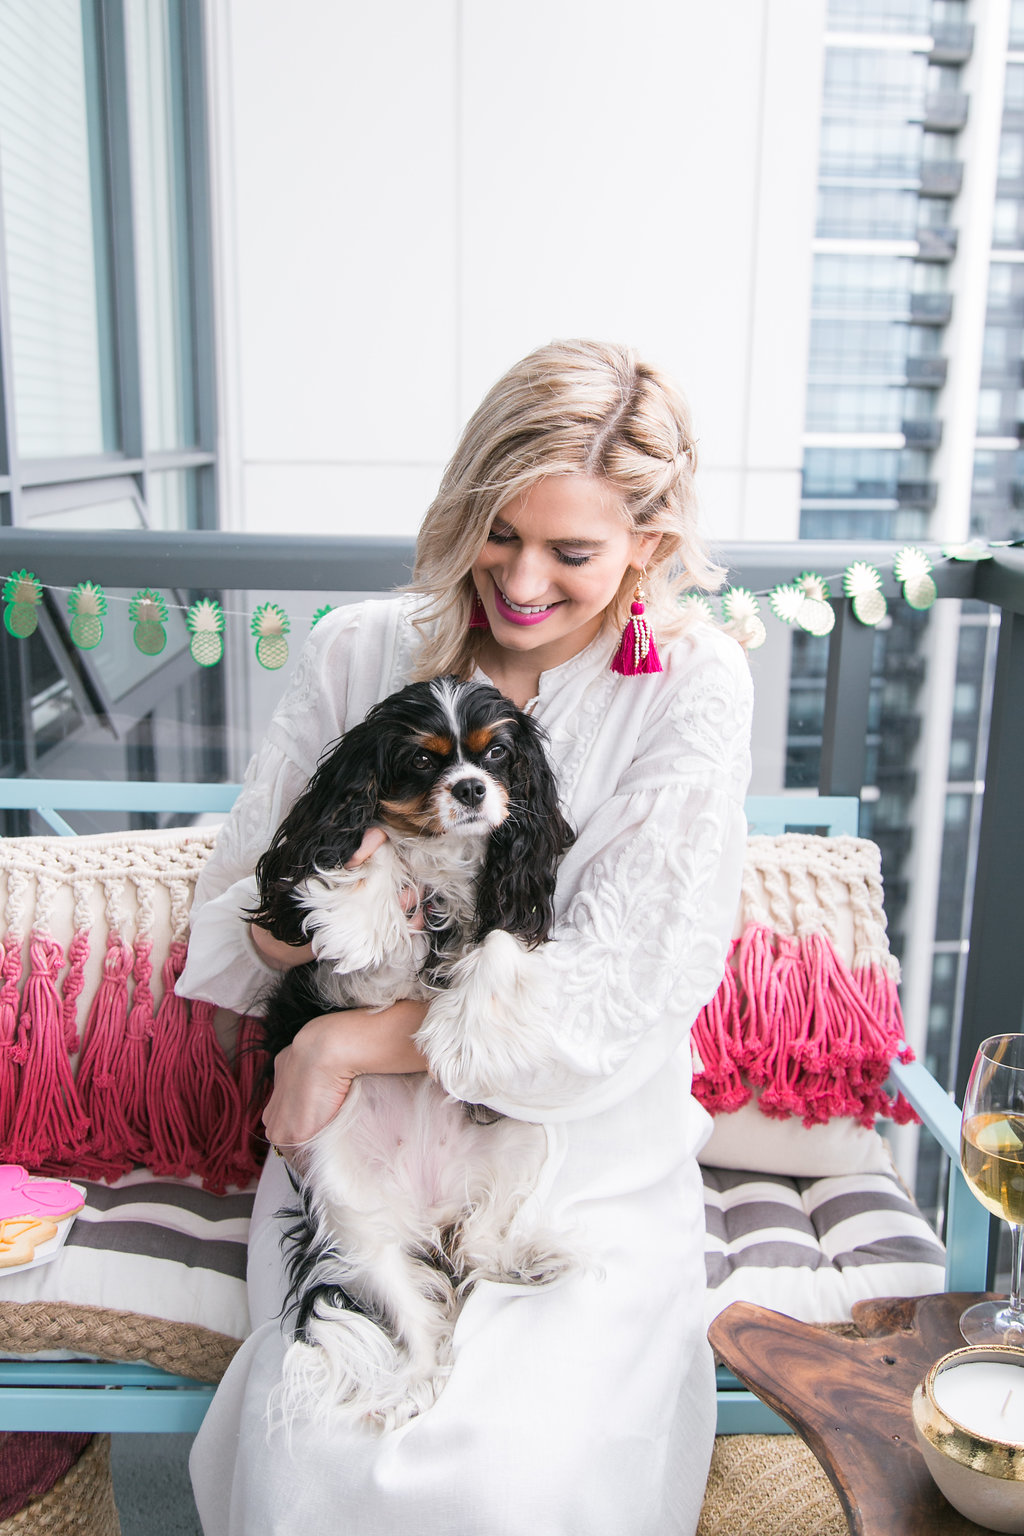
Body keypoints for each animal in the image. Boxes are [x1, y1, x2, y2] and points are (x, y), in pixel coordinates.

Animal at [250, 675, 578, 1432]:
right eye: (424, 761)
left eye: (496, 757)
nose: (471, 789)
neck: (443, 859)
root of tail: (428, 1212)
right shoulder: (344, 985)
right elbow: (372, 857)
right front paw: (360, 919)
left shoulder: (514, 906)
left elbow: (500, 940)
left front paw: (465, 1035)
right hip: (352, 1216)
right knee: (415, 1307)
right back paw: (420, 1384)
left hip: (526, 1141)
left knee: (477, 1243)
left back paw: (525, 1262)